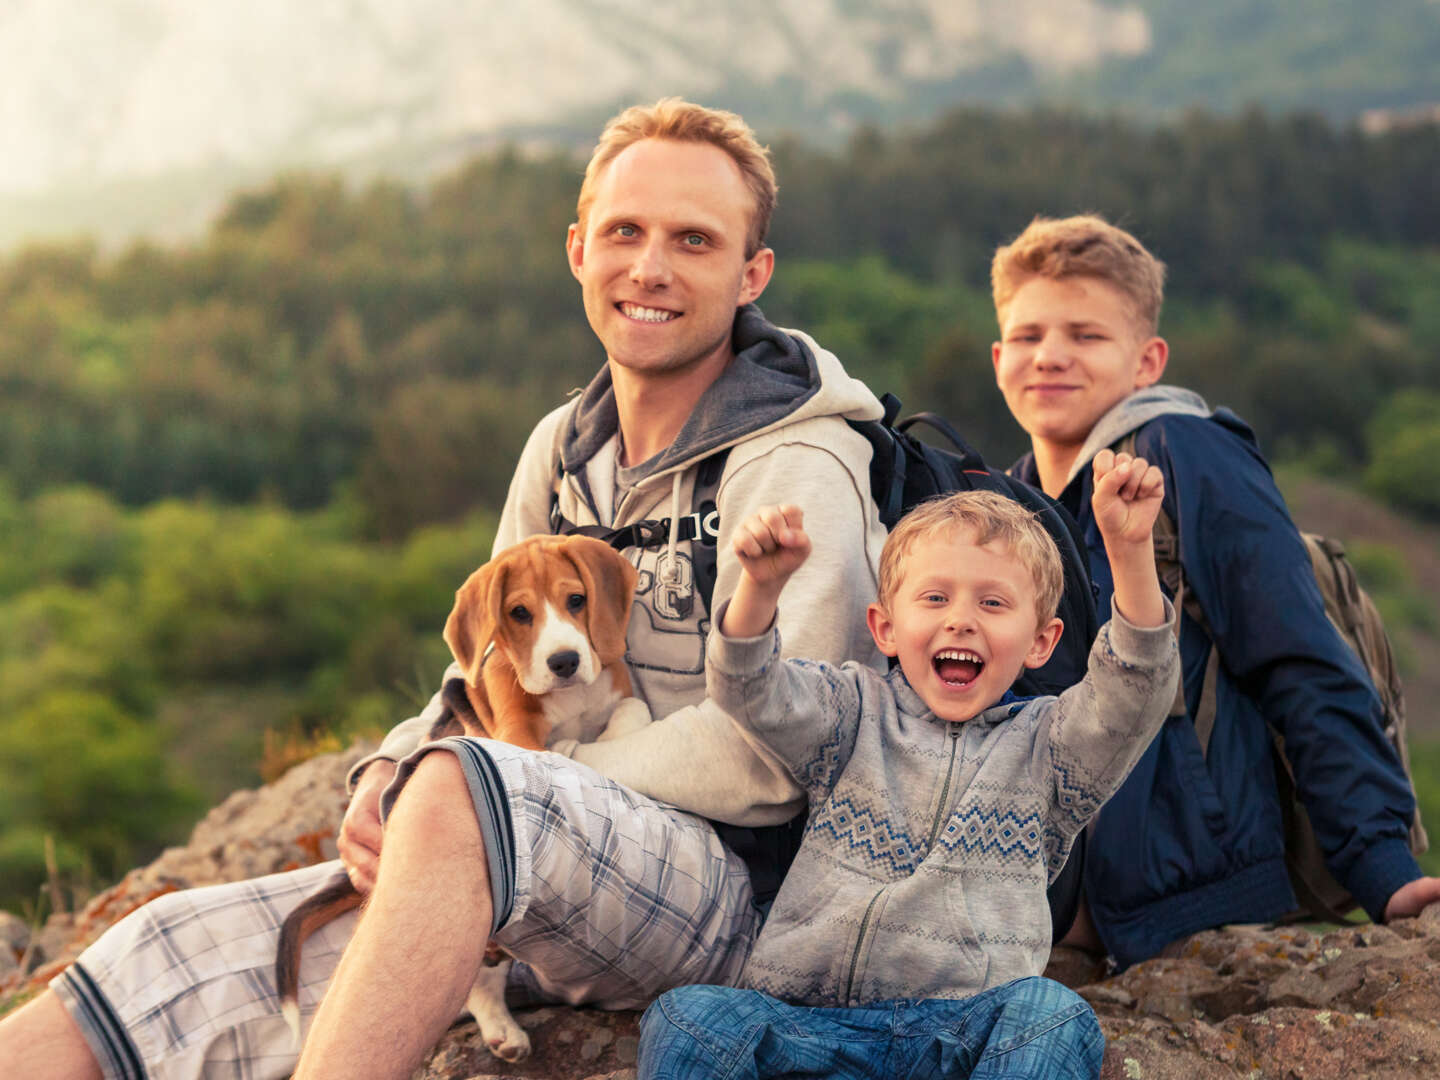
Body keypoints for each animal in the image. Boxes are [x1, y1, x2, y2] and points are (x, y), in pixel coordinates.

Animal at [270, 532, 653, 1065]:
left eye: (577, 600)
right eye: (519, 613)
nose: (564, 662)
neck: (572, 699)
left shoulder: (618, 688)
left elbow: (633, 710)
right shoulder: (517, 734)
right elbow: (555, 749)